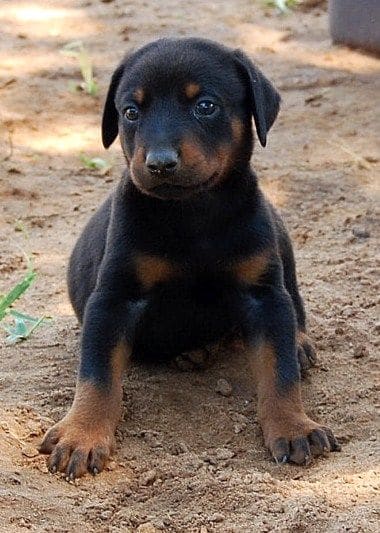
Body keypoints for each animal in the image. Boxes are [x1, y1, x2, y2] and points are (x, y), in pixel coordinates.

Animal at [40, 37, 340, 478]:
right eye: (130, 112)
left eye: (206, 106)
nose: (160, 163)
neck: (193, 213)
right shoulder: (113, 299)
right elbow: (96, 375)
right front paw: (82, 434)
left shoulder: (263, 296)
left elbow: (279, 371)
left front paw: (293, 426)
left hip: (279, 236)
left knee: (294, 301)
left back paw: (298, 343)